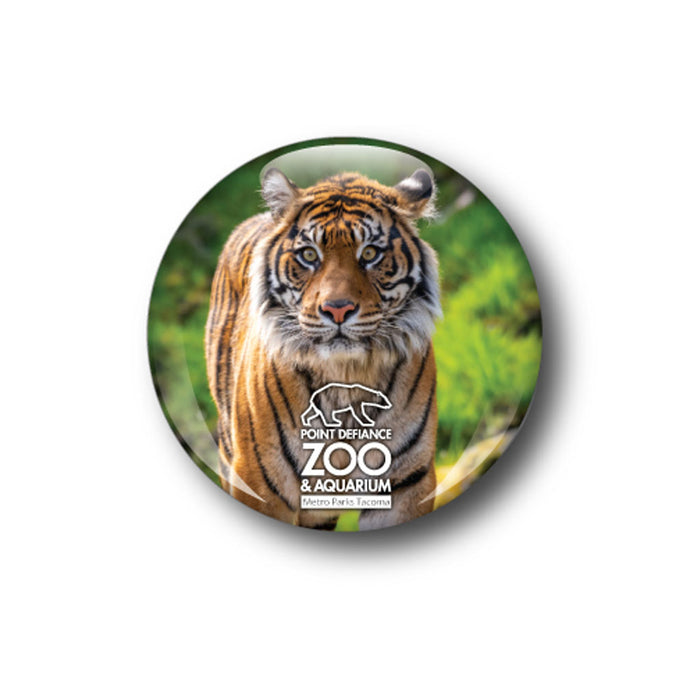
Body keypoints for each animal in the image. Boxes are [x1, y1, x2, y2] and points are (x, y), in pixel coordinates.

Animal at [205, 167, 441, 530]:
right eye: (309, 255)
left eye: (370, 253)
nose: (337, 309)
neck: (346, 375)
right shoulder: (260, 482)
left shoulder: (406, 483)